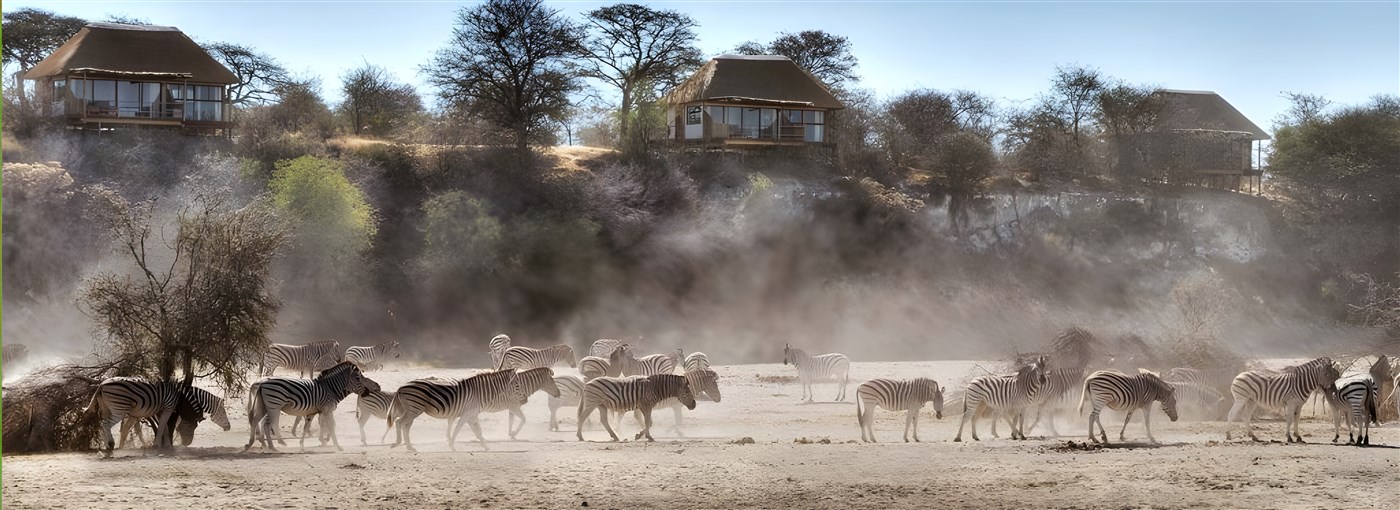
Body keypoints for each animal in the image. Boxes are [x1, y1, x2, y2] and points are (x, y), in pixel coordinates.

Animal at [244, 361, 379, 452]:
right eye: (358, 378)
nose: (368, 392)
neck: (330, 389)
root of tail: (262, 383)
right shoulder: (327, 409)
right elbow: (331, 426)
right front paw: (336, 445)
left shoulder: (313, 412)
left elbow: (306, 427)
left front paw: (302, 445)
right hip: (274, 406)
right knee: (269, 424)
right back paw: (277, 444)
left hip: (264, 405)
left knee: (256, 421)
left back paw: (255, 444)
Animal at [388, 369, 518, 452]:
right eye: (517, 385)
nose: (519, 401)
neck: (479, 392)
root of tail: (401, 387)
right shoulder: (467, 414)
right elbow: (458, 429)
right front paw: (452, 446)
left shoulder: (472, 414)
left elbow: (478, 431)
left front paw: (486, 446)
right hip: (414, 409)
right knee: (400, 422)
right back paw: (400, 442)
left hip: (411, 409)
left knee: (404, 425)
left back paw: (409, 446)